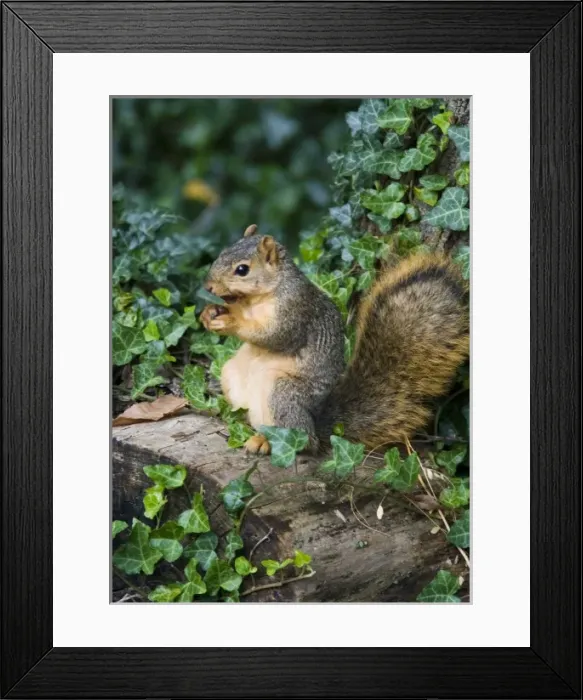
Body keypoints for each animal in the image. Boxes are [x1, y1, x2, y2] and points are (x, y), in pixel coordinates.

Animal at [200, 224, 469, 456]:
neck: (257, 299)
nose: (209, 287)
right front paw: (210, 313)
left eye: (242, 269)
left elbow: (277, 336)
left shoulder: (296, 309)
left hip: (284, 393)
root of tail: (317, 422)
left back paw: (268, 442)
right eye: (222, 253)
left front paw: (232, 320)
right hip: (231, 374)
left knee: (304, 441)